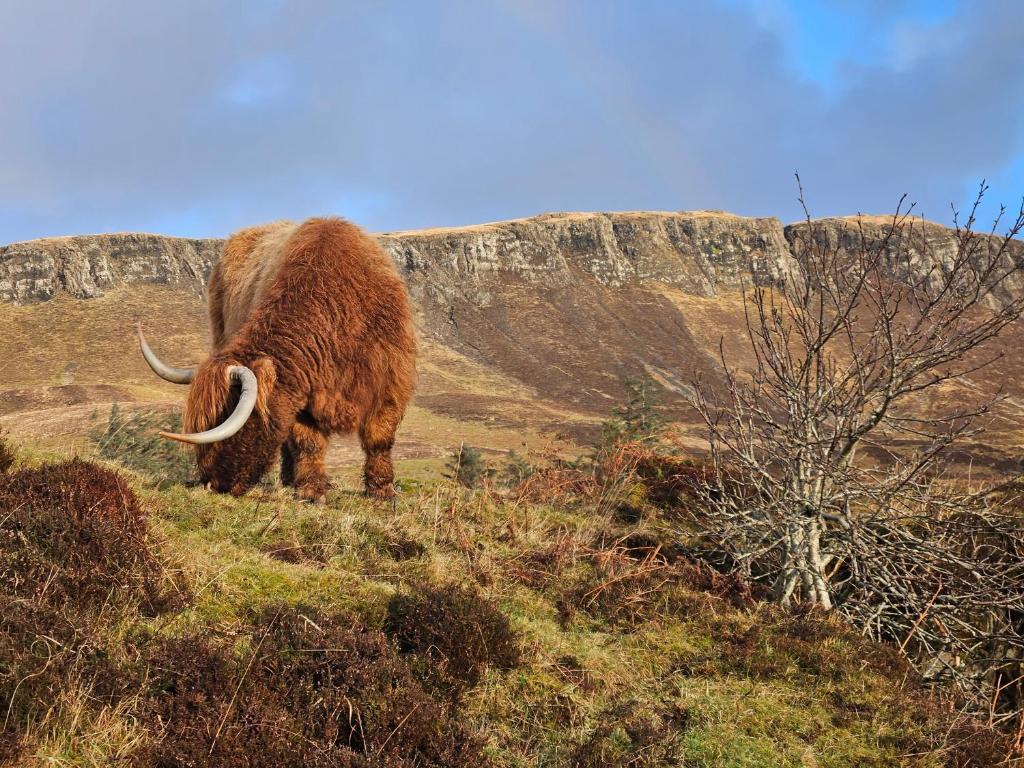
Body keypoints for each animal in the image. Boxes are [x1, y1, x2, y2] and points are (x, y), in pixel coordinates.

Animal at [137, 217, 416, 502]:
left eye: (224, 420)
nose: (211, 483)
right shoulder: (304, 394)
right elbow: (308, 442)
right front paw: (312, 491)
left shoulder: (391, 377)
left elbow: (379, 436)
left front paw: (382, 491)